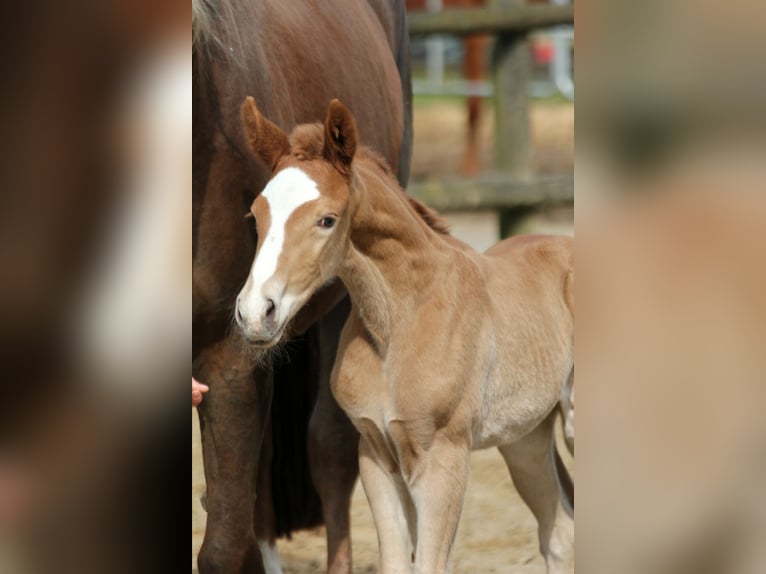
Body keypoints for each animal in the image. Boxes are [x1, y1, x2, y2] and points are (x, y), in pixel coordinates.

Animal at [237, 99, 572, 574]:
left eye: (327, 220)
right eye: (256, 215)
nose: (254, 313)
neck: (400, 322)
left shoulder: (444, 457)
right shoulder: (377, 455)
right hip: (525, 438)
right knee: (559, 529)